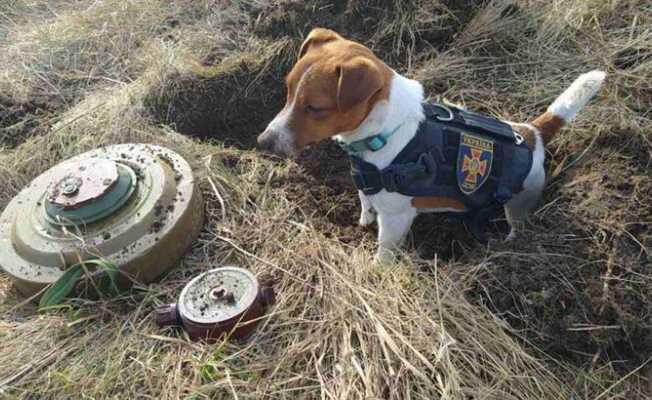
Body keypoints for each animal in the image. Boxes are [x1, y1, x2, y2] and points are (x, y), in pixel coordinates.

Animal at [256, 27, 608, 260]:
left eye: (315, 108)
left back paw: (510, 244)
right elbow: (365, 203)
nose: (263, 141)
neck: (387, 131)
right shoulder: (366, 185)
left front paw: (377, 268)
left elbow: (384, 250)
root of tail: (532, 132)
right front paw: (363, 220)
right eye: (287, 90)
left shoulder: (396, 219)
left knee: (517, 224)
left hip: (520, 202)